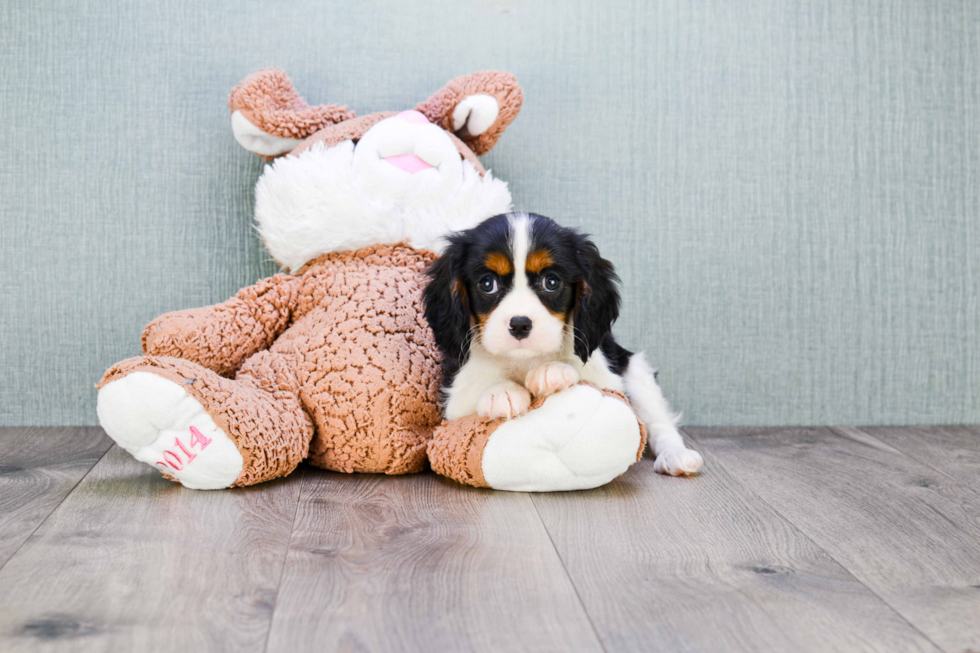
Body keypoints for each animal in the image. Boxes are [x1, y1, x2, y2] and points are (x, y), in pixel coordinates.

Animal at [422, 211, 704, 476]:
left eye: (551, 282)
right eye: (487, 284)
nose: (520, 324)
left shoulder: (607, 377)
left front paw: (552, 370)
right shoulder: (454, 402)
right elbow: (481, 383)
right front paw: (501, 392)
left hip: (635, 369)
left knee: (660, 423)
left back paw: (676, 456)